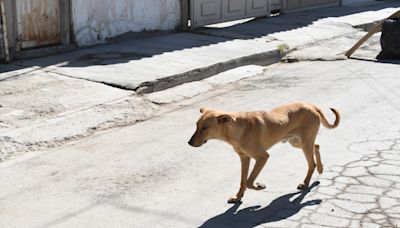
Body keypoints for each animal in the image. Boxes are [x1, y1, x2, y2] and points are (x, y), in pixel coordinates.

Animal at [189, 101, 340, 203]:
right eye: (196, 126)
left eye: (205, 128)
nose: (189, 143)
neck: (237, 128)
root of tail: (311, 105)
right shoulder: (244, 158)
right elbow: (243, 181)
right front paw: (238, 197)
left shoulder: (262, 157)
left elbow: (249, 181)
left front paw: (258, 186)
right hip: (297, 142)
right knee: (317, 146)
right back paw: (320, 168)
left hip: (304, 143)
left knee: (311, 163)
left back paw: (306, 182)